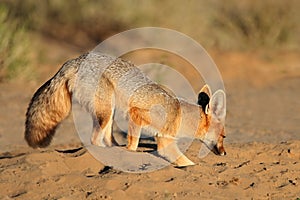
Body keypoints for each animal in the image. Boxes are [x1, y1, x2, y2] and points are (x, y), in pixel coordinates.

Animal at [25, 52, 226, 167]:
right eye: (223, 136)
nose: (225, 153)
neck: (178, 115)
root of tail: (75, 59)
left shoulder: (163, 139)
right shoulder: (136, 114)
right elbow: (134, 145)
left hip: (109, 112)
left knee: (107, 138)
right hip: (106, 111)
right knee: (95, 139)